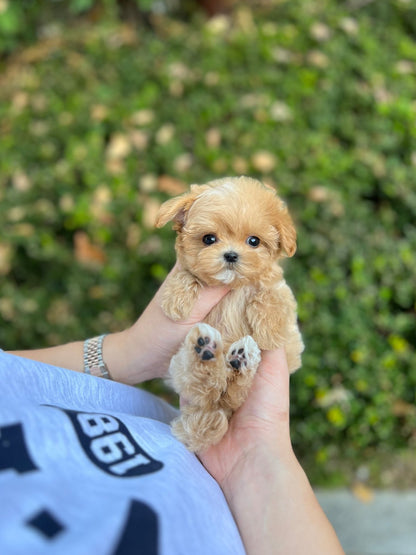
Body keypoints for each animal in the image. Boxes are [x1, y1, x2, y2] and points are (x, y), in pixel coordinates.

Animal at [154, 176, 304, 454]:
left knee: (234, 393)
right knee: (207, 389)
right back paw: (206, 352)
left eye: (254, 241)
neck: (233, 286)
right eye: (209, 239)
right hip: (180, 366)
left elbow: (272, 294)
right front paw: (175, 299)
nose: (231, 255)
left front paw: (270, 330)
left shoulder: (277, 290)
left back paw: (240, 360)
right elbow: (187, 274)